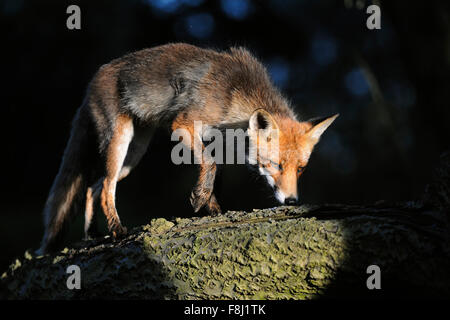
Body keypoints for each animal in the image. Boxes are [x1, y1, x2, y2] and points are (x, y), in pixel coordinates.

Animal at [37, 42, 336, 254]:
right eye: (275, 165)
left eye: (301, 169)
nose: (292, 201)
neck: (232, 97)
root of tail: (94, 79)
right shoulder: (183, 124)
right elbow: (209, 165)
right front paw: (199, 198)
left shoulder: (217, 141)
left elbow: (213, 173)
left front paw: (213, 209)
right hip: (120, 143)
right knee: (105, 187)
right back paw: (118, 230)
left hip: (133, 155)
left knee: (93, 187)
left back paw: (93, 234)